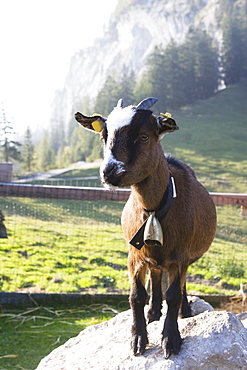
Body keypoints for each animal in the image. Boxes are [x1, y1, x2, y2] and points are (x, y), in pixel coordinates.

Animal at [75, 98, 216, 358]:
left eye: (143, 136)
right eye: (104, 136)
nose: (109, 172)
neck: (153, 211)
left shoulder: (180, 256)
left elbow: (173, 294)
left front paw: (171, 339)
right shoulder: (134, 254)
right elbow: (136, 296)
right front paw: (138, 339)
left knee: (179, 285)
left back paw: (183, 311)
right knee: (156, 274)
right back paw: (153, 313)